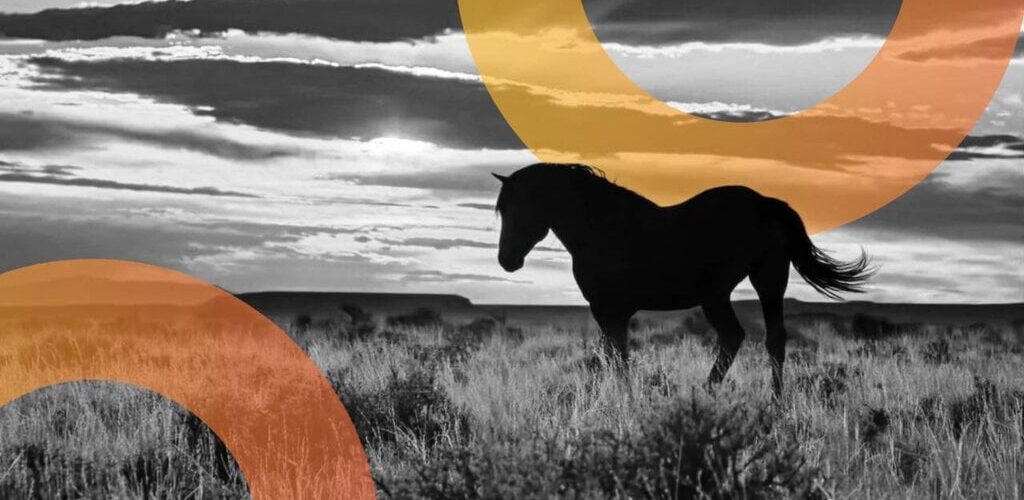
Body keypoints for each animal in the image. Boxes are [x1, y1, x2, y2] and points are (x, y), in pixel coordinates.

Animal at [492, 163, 873, 396]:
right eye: (502, 209)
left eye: (523, 207)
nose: (506, 260)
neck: (601, 226)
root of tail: (766, 203)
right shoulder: (613, 312)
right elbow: (613, 356)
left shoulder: (609, 309)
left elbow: (617, 358)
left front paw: (624, 401)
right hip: (755, 284)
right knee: (766, 339)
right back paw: (760, 401)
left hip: (729, 290)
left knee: (742, 338)